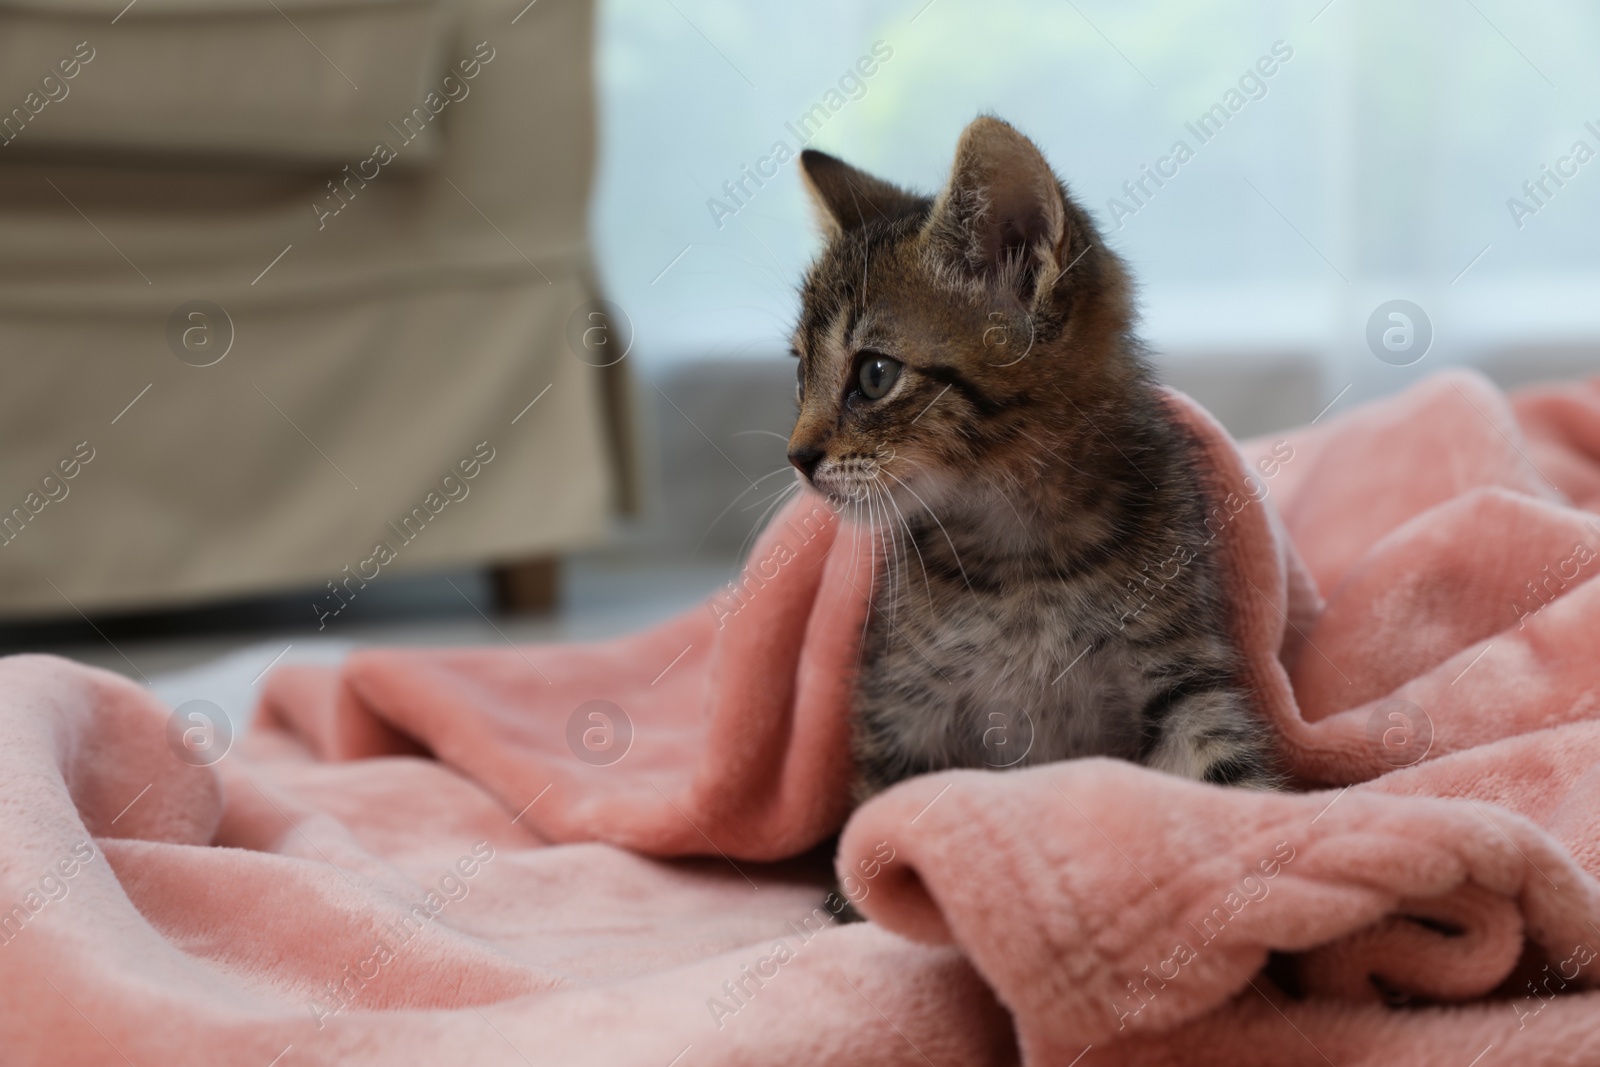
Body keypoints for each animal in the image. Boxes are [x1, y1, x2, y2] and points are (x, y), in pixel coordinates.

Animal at [784, 116, 1273, 806]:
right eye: (801, 374)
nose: (797, 457)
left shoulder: (1180, 679)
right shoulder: (898, 711)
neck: (1023, 557)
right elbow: (872, 820)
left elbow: (1231, 778)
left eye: (875, 375)